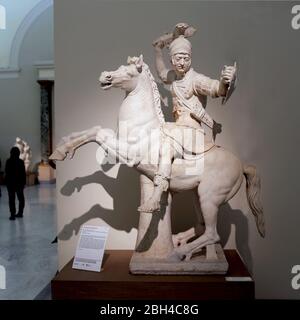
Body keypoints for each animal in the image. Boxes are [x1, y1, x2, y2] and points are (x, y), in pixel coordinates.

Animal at [49, 55, 264, 264]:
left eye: (129, 71)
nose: (105, 76)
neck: (143, 126)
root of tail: (242, 165)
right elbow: (94, 133)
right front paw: (60, 152)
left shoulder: (129, 153)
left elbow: (98, 133)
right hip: (197, 194)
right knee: (202, 226)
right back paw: (179, 242)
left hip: (210, 198)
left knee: (213, 234)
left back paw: (177, 252)